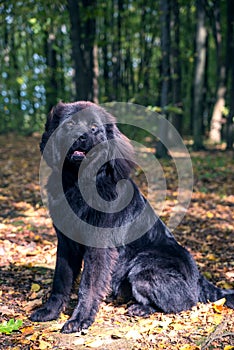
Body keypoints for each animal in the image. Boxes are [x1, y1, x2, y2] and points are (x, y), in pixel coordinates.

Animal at [30, 101, 233, 334]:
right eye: (70, 124)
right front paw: (50, 312)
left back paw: (141, 308)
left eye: (94, 128)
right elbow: (60, 281)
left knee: (184, 302)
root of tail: (199, 277)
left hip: (143, 267)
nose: (80, 136)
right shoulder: (65, 243)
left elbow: (88, 285)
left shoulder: (99, 247)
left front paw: (80, 319)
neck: (78, 184)